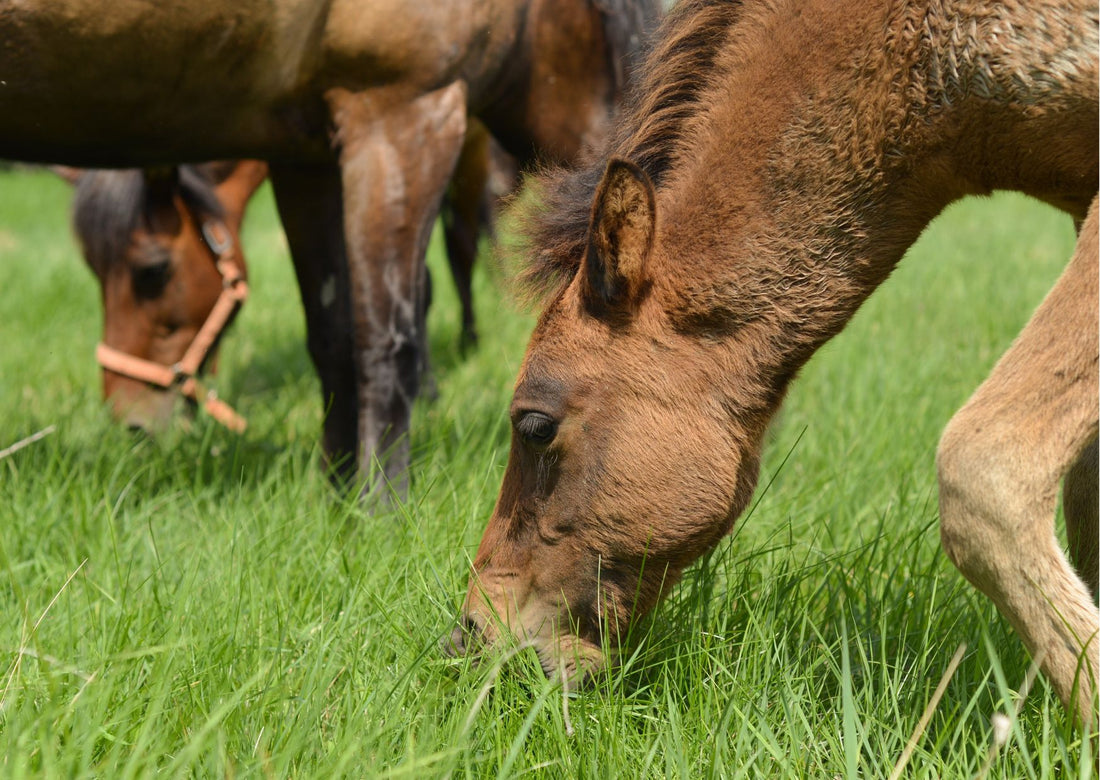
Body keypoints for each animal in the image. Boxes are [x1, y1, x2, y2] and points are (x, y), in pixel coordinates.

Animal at [0, 0, 660, 492]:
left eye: (152, 272)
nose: (130, 420)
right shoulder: (402, 116)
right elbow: (383, 336)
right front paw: (379, 501)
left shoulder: (322, 149)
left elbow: (346, 339)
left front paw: (348, 497)